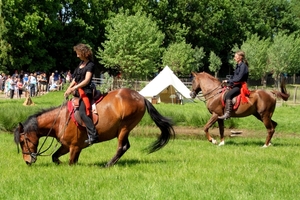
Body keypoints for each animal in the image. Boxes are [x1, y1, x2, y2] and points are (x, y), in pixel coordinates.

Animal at [13, 88, 176, 166]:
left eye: (22, 141)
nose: (27, 161)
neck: (59, 120)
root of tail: (141, 97)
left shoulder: (74, 147)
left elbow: (71, 163)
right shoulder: (67, 146)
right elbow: (54, 157)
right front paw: (59, 163)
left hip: (124, 127)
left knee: (121, 147)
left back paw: (108, 165)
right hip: (124, 129)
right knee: (126, 146)